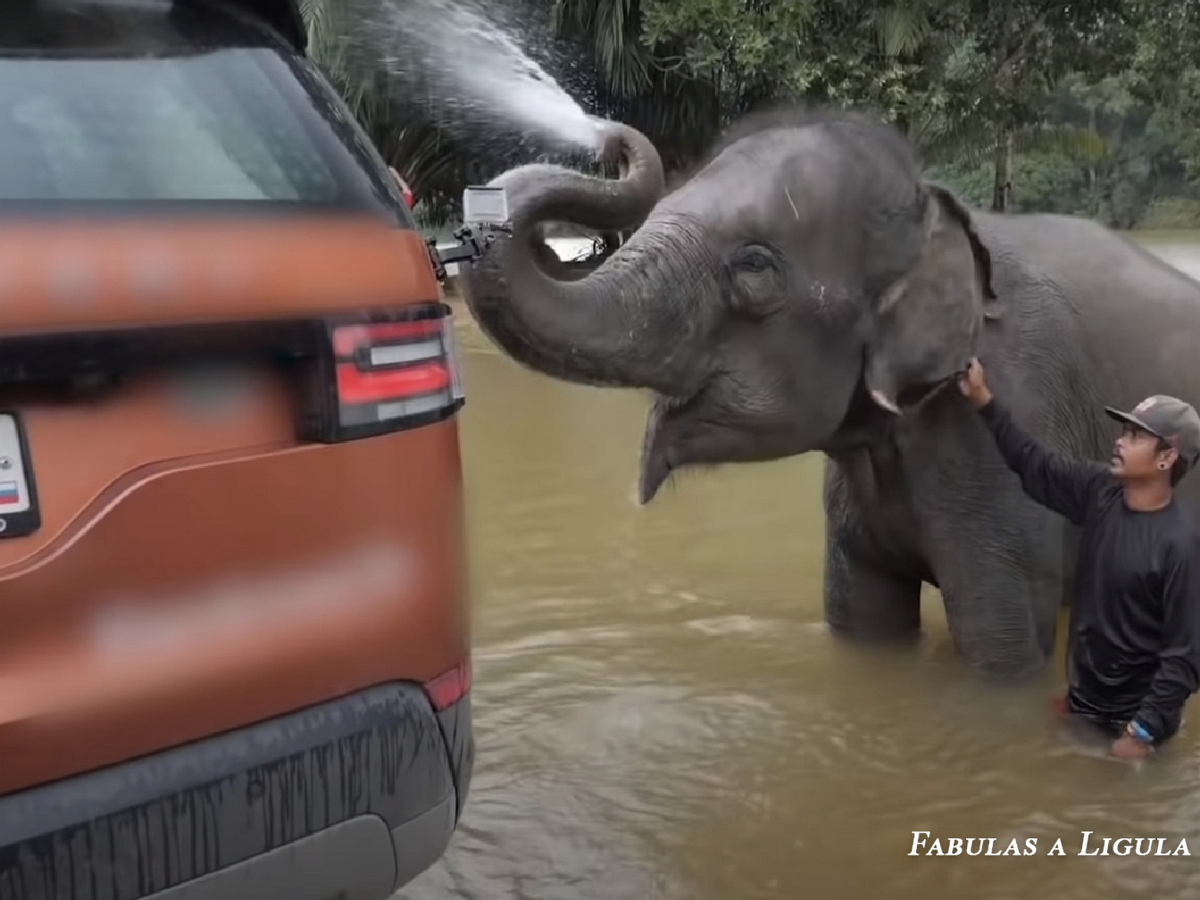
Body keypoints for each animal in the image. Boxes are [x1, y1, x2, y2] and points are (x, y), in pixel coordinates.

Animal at [458, 105, 1200, 681]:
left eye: (754, 266)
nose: (611, 140)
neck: (932, 214)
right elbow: (862, 622)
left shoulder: (1017, 425)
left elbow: (1001, 644)